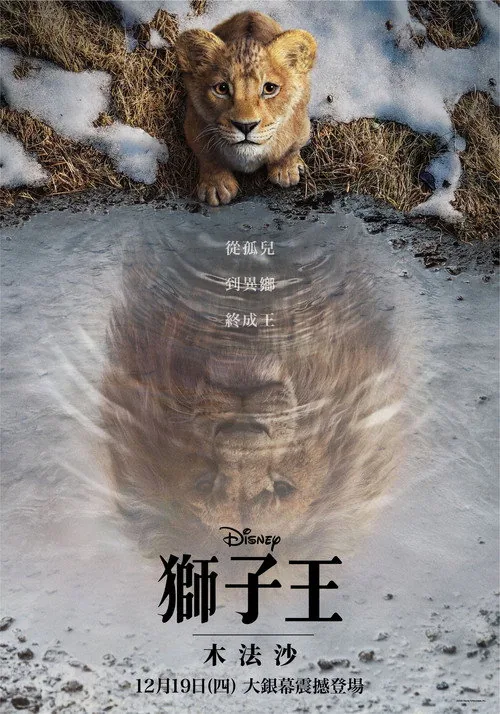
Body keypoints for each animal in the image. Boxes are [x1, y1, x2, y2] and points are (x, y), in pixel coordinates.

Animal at [176, 11, 317, 206]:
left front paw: (286, 170)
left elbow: (290, 149)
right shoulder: (194, 125)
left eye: (269, 88)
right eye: (222, 88)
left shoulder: (301, 125)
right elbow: (208, 156)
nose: (245, 126)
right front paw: (216, 186)